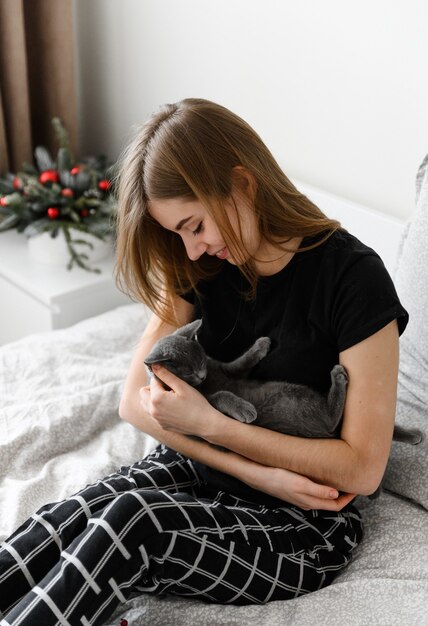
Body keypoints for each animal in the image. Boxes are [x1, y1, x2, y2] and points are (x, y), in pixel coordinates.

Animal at [145, 320, 422, 494]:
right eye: (188, 372)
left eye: (201, 360)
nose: (201, 376)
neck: (207, 380)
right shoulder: (201, 407)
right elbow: (221, 395)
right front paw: (245, 409)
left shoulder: (226, 369)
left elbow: (240, 362)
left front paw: (261, 345)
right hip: (291, 397)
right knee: (331, 418)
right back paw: (338, 377)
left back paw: (414, 435)